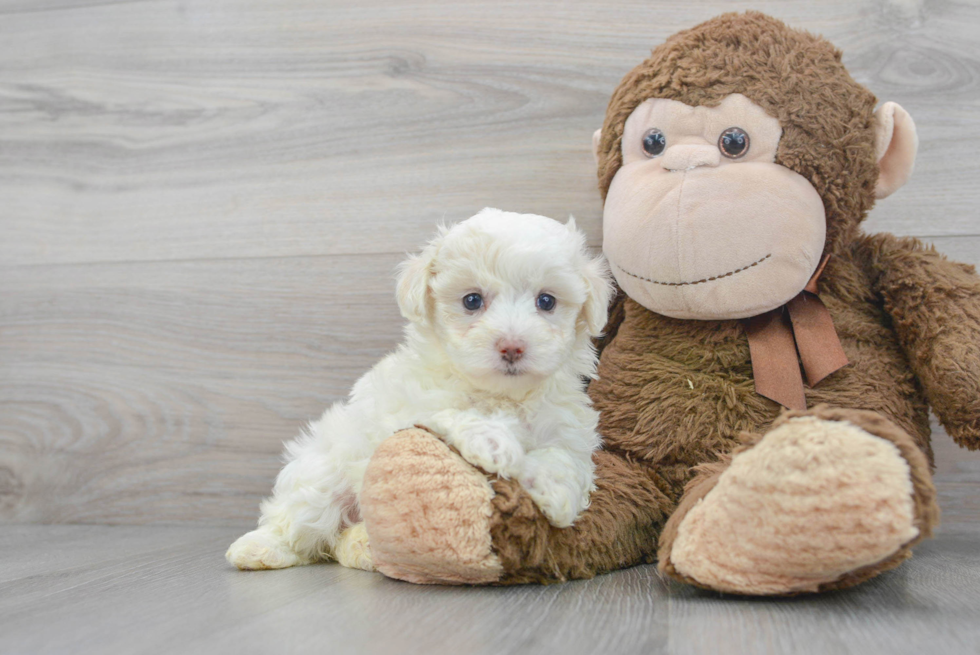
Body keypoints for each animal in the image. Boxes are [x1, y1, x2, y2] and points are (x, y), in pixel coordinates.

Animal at [230, 208, 612, 572]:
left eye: (546, 301)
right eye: (472, 301)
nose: (512, 346)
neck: (503, 394)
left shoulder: (567, 429)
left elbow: (564, 458)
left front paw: (555, 492)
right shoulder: (412, 408)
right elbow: (456, 413)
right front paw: (494, 442)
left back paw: (364, 547)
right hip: (322, 473)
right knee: (301, 521)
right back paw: (260, 549)